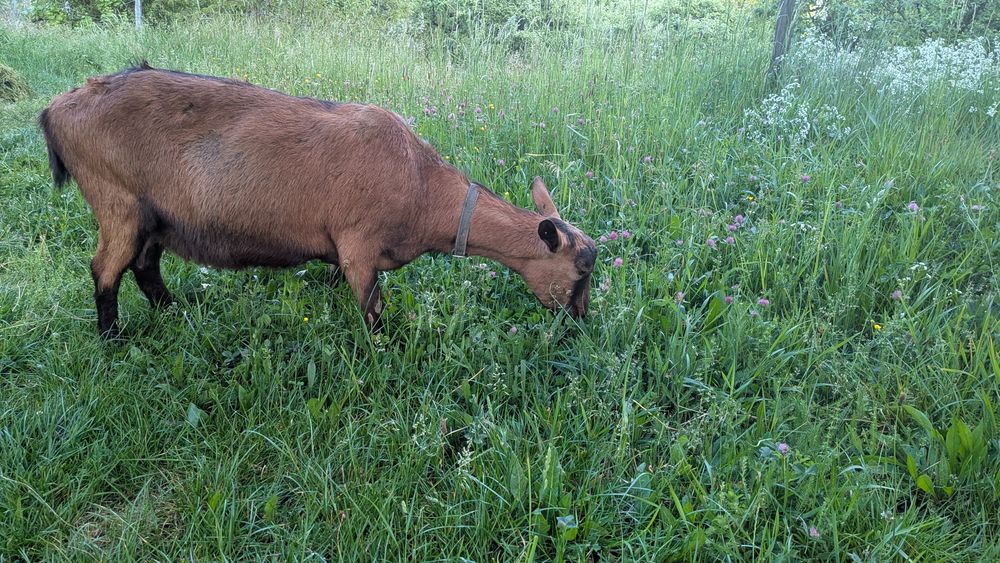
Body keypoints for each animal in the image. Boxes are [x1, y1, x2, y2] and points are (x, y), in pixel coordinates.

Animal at [39, 64, 597, 337]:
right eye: (581, 272)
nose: (580, 323)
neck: (422, 187)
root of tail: (57, 109)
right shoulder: (358, 247)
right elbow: (373, 312)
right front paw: (386, 353)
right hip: (118, 201)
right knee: (106, 270)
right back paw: (113, 340)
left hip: (158, 216)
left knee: (145, 266)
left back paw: (177, 315)